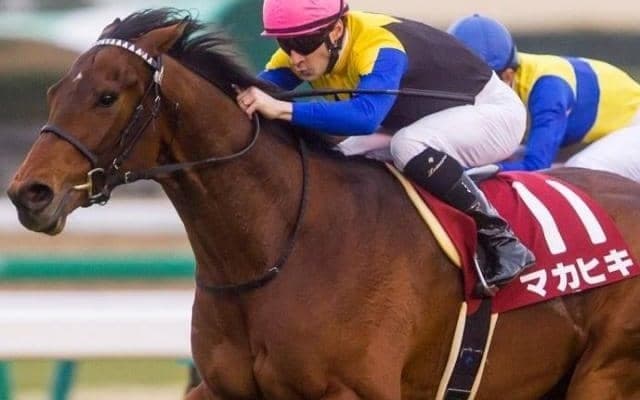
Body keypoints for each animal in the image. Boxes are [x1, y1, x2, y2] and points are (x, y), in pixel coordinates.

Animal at [7, 9, 640, 399]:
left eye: (107, 96)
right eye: (55, 91)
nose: (28, 193)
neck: (276, 247)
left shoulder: (354, 389)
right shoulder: (220, 386)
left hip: (606, 374)